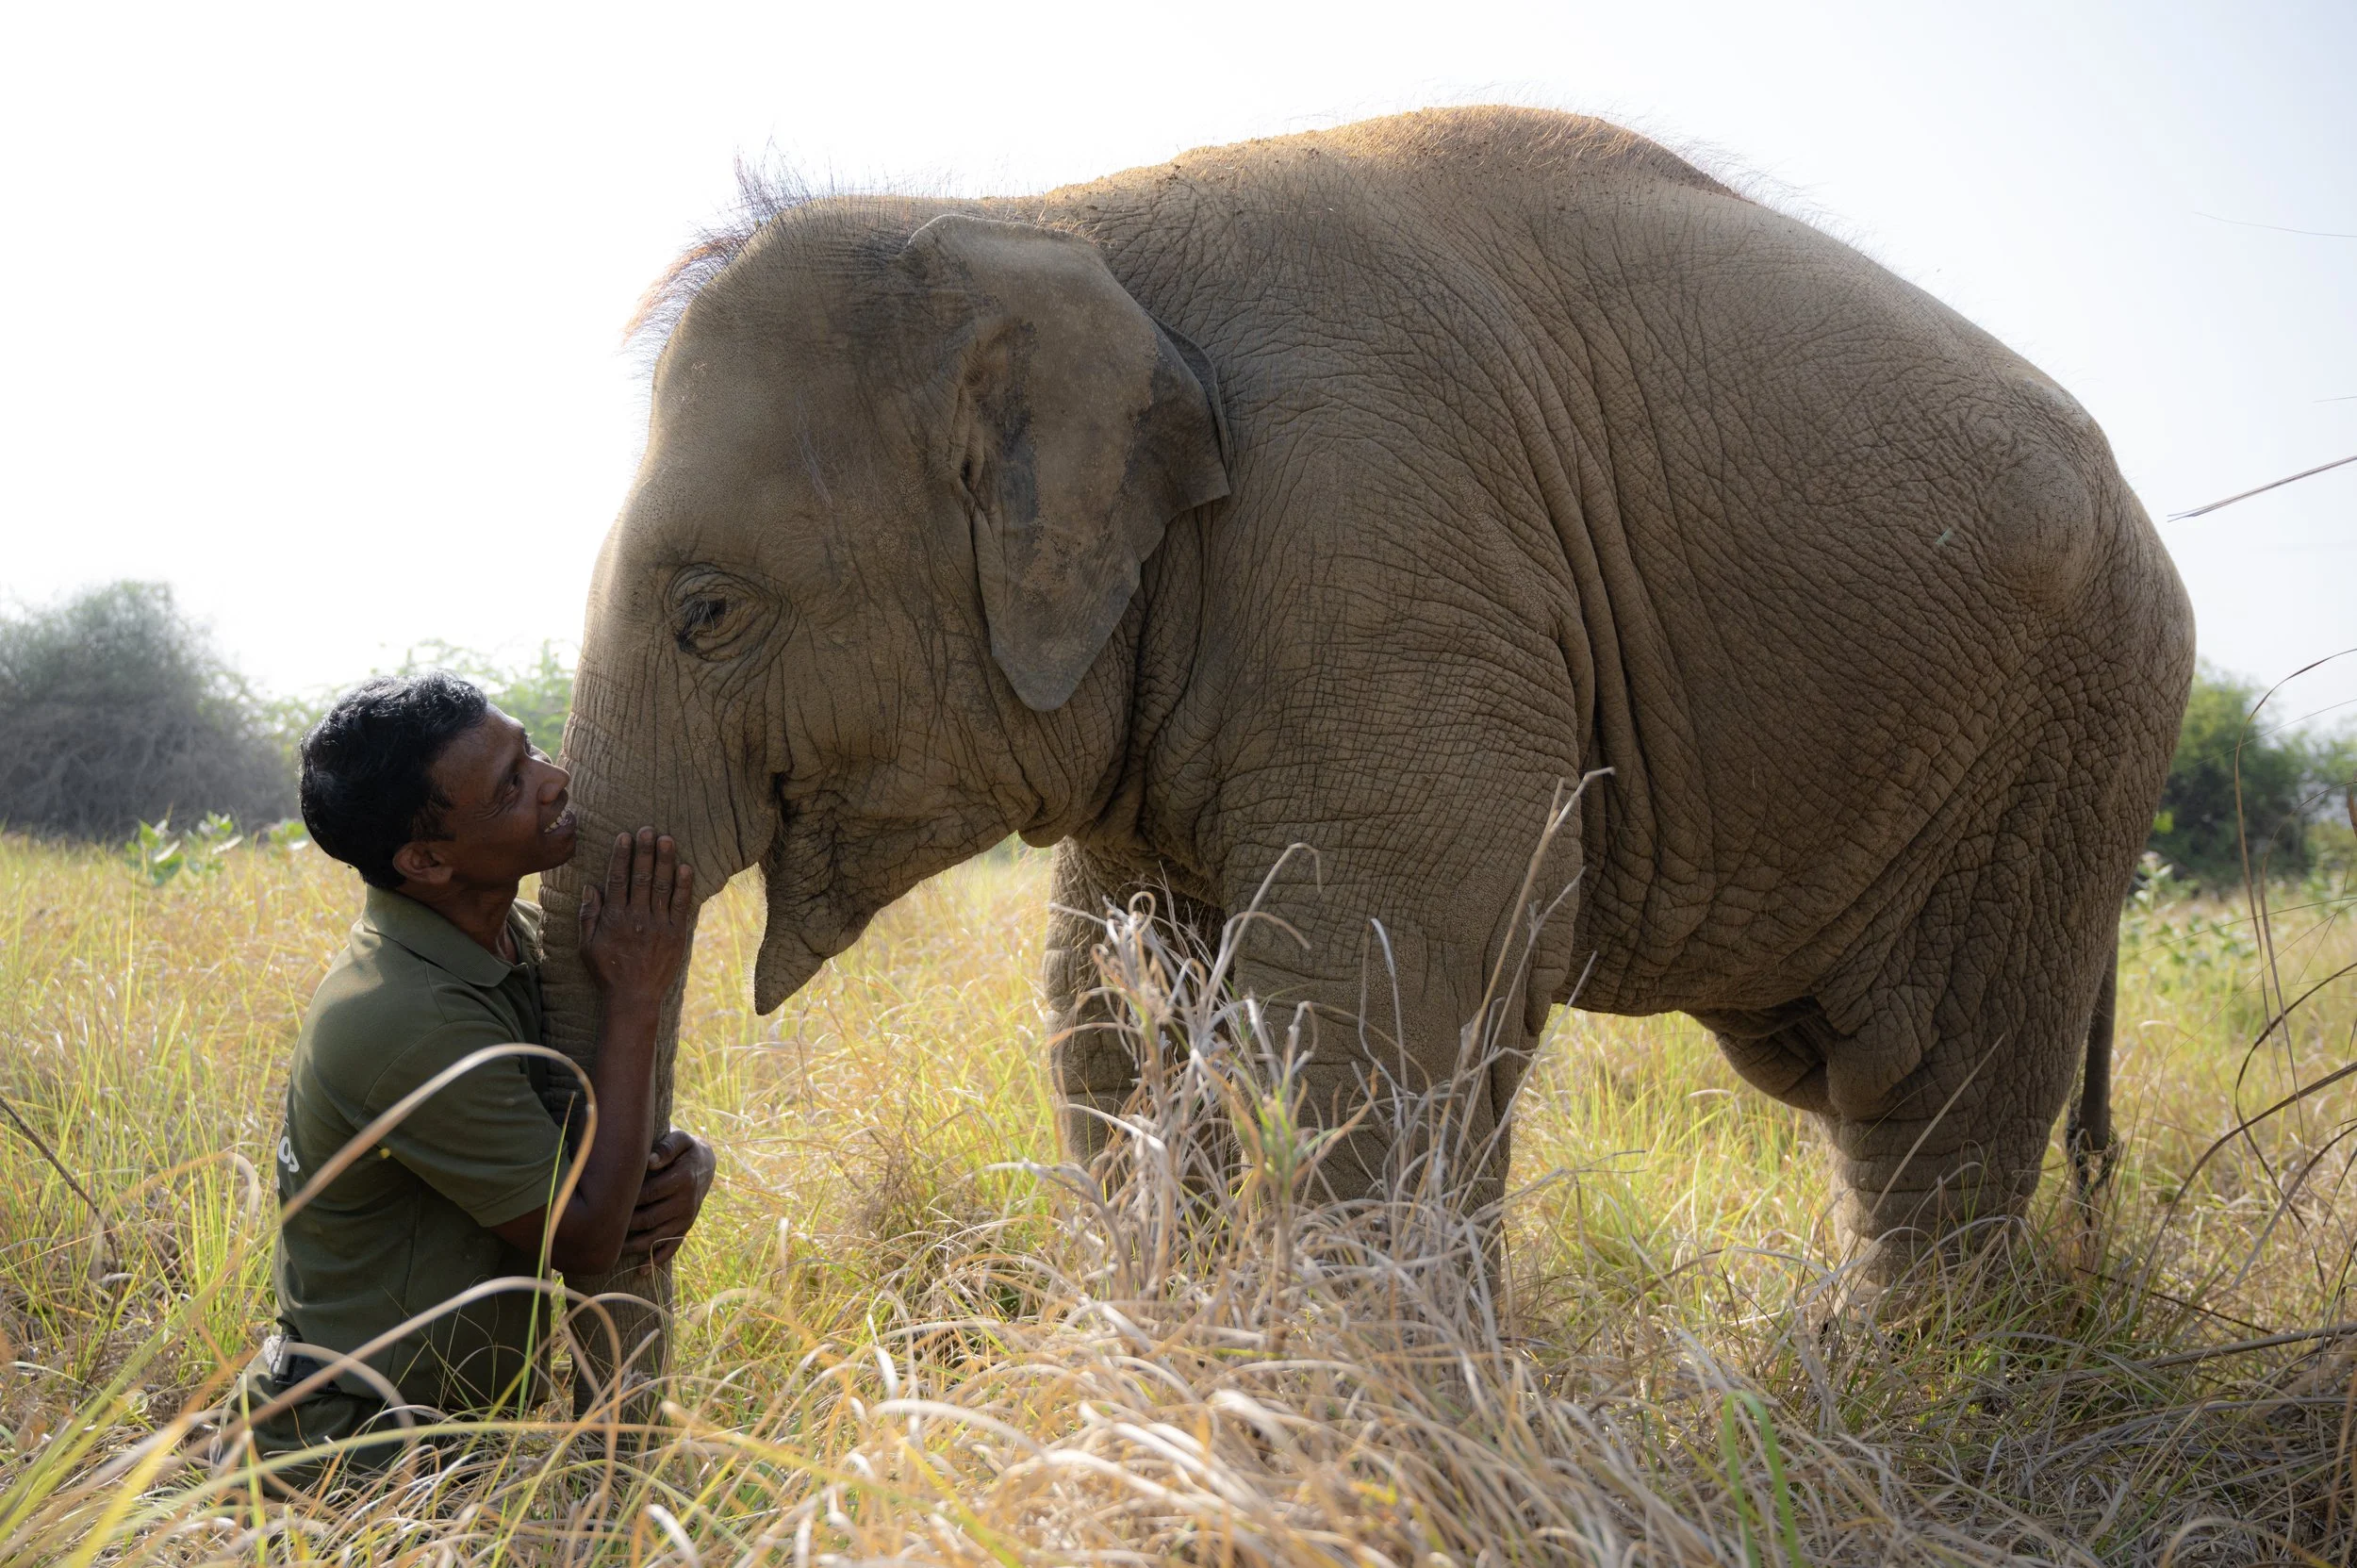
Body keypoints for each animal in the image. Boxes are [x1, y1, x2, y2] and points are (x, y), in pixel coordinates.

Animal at [534, 106, 2193, 1368]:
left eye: (706, 611)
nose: (673, 1181)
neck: (1043, 220)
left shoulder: (1383, 567)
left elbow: (1377, 988)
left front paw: (1366, 1412)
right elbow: (1120, 1012)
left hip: (2073, 739)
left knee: (1932, 1093)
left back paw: (1897, 1389)